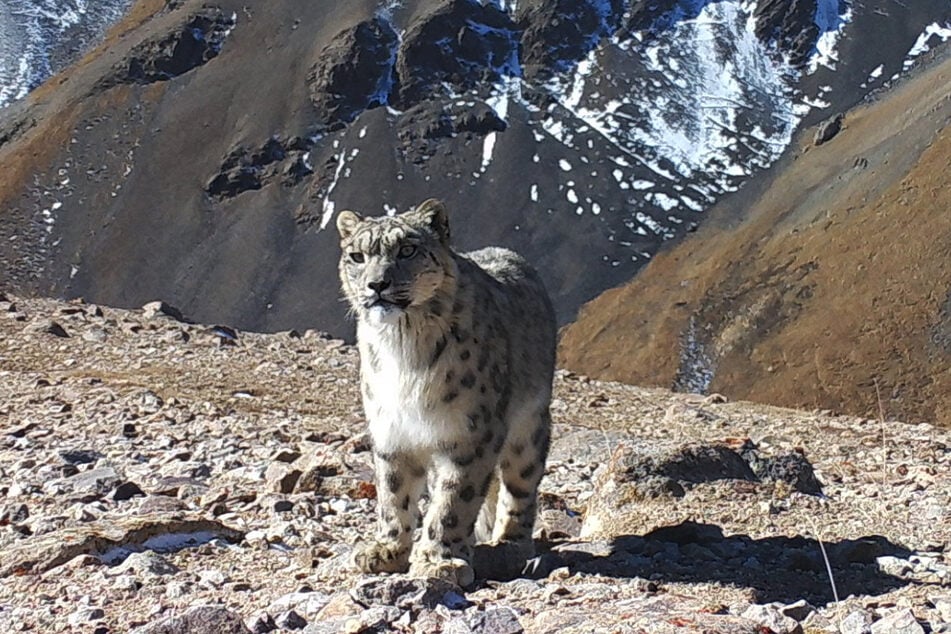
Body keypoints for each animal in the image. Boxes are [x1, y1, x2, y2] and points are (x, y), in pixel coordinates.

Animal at [336, 199, 556, 588]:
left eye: (407, 250)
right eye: (357, 256)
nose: (377, 284)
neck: (402, 346)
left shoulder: (469, 435)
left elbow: (454, 503)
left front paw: (439, 561)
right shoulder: (391, 432)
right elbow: (393, 494)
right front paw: (387, 550)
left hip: (528, 430)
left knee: (520, 488)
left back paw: (507, 546)